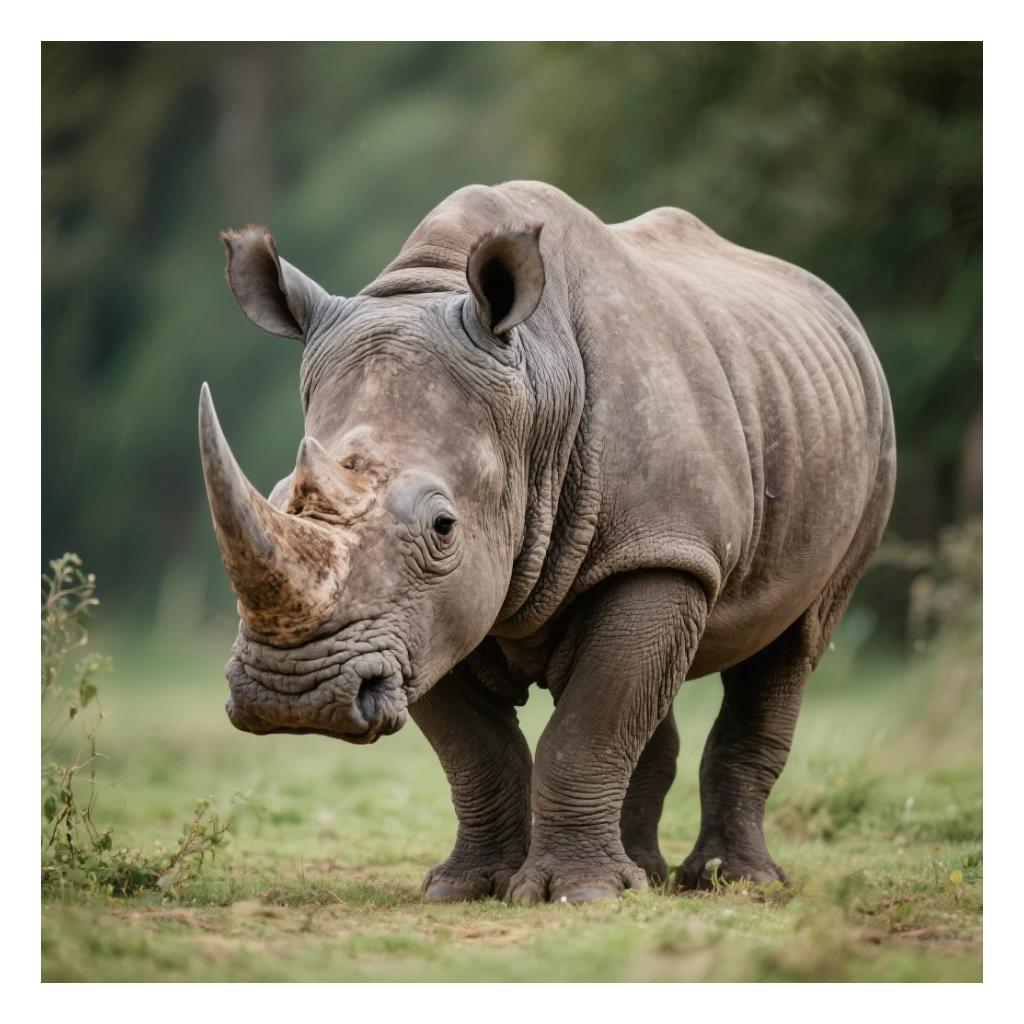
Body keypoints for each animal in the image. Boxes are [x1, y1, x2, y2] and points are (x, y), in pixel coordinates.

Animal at [199, 180, 895, 903]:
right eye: (279, 496)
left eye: (443, 527)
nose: (293, 695)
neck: (534, 381)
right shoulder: (423, 617)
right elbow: (478, 750)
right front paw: (467, 888)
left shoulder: (655, 547)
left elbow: (592, 725)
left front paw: (579, 894)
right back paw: (645, 876)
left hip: (866, 438)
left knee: (792, 643)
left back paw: (735, 883)